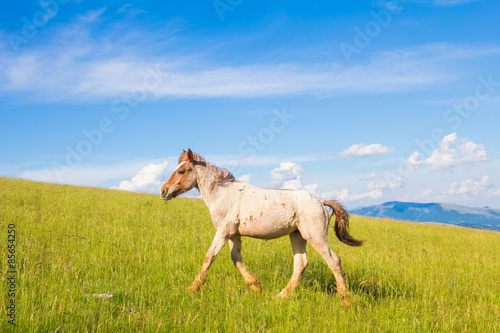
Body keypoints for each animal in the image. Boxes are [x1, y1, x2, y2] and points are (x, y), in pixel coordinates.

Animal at [160, 148, 364, 300]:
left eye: (181, 171)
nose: (163, 191)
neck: (222, 194)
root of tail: (321, 201)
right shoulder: (234, 235)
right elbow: (236, 258)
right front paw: (255, 285)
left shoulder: (223, 232)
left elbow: (209, 257)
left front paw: (192, 287)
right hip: (297, 236)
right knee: (301, 263)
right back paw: (281, 296)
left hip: (315, 236)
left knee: (334, 260)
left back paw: (344, 298)